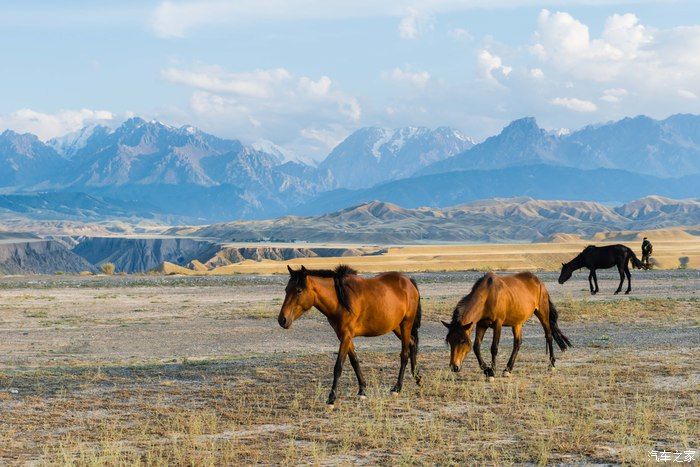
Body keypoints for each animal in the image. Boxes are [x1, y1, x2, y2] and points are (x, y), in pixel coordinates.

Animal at [278, 266, 422, 406]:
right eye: (286, 289)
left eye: (298, 290)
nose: (282, 320)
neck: (340, 300)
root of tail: (408, 281)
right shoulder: (344, 336)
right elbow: (354, 361)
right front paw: (362, 390)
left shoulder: (346, 335)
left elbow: (338, 366)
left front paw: (331, 399)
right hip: (396, 326)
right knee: (412, 343)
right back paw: (417, 377)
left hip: (406, 324)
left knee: (404, 355)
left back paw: (397, 388)